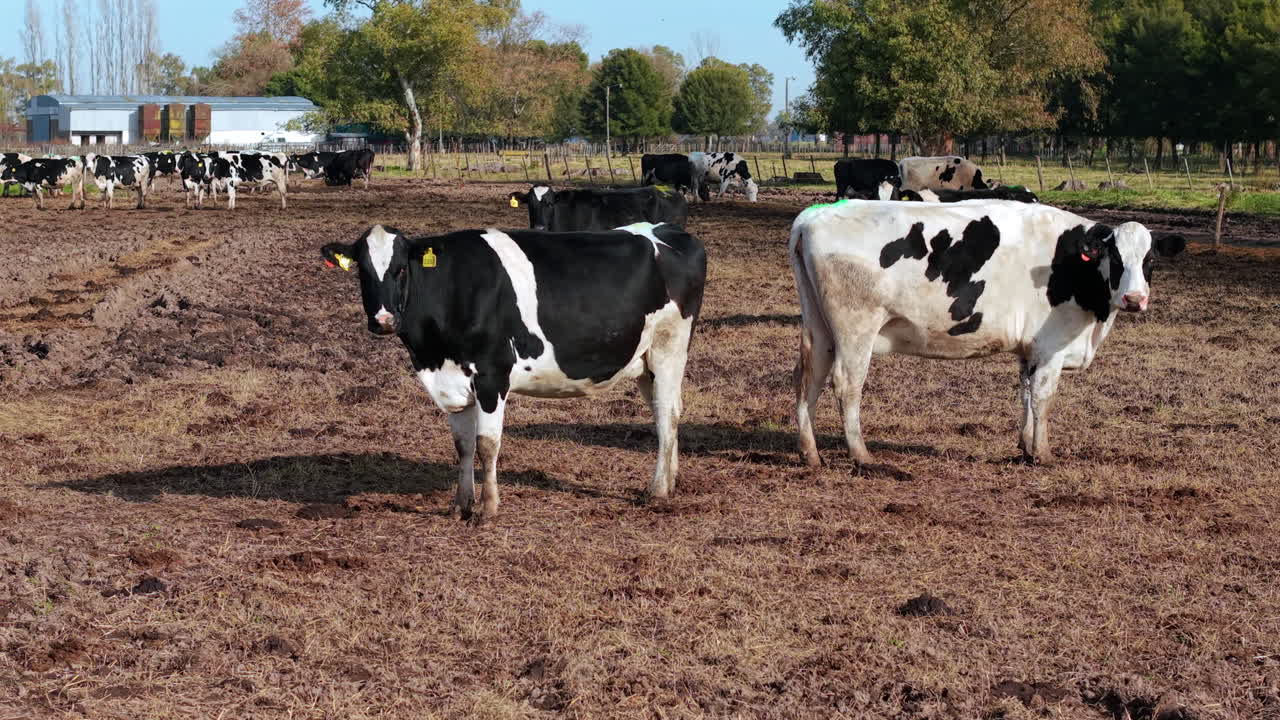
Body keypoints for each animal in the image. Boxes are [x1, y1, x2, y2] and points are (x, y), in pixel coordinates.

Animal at [320, 222, 706, 524]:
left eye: (401, 268)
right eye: (362, 271)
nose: (383, 321)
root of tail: (670, 231)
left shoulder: (492, 376)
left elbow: (487, 444)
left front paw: (488, 509)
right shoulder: (452, 382)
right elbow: (462, 445)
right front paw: (461, 506)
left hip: (670, 347)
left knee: (666, 414)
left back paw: (657, 490)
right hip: (645, 362)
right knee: (669, 411)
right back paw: (671, 480)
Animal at [789, 199, 1185, 467]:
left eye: (1150, 260)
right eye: (1115, 259)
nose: (1134, 299)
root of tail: (814, 215)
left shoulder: (1030, 350)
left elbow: (1026, 395)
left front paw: (1025, 447)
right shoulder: (1051, 347)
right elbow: (1043, 398)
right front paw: (1043, 453)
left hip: (820, 329)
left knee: (808, 378)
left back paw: (810, 453)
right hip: (856, 328)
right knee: (846, 383)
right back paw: (861, 455)